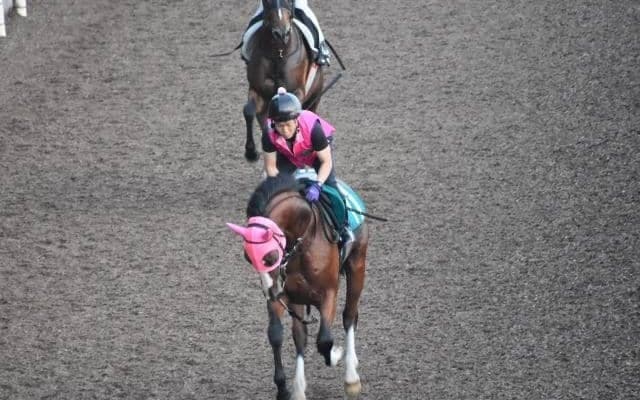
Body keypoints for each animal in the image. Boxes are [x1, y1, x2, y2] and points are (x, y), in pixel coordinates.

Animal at [227, 173, 367, 400]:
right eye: (248, 258)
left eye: (269, 257)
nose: (269, 292)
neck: (302, 239)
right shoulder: (285, 296)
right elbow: (276, 335)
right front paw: (284, 388)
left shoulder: (329, 293)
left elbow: (324, 340)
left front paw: (336, 355)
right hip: (298, 299)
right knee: (300, 336)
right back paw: (300, 387)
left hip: (357, 266)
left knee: (349, 316)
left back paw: (351, 376)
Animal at [242, 0, 325, 162]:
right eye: (267, 2)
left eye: (290, 1)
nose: (281, 34)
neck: (278, 53)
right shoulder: (257, 89)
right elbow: (248, 111)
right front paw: (251, 152)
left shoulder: (297, 91)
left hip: (316, 93)